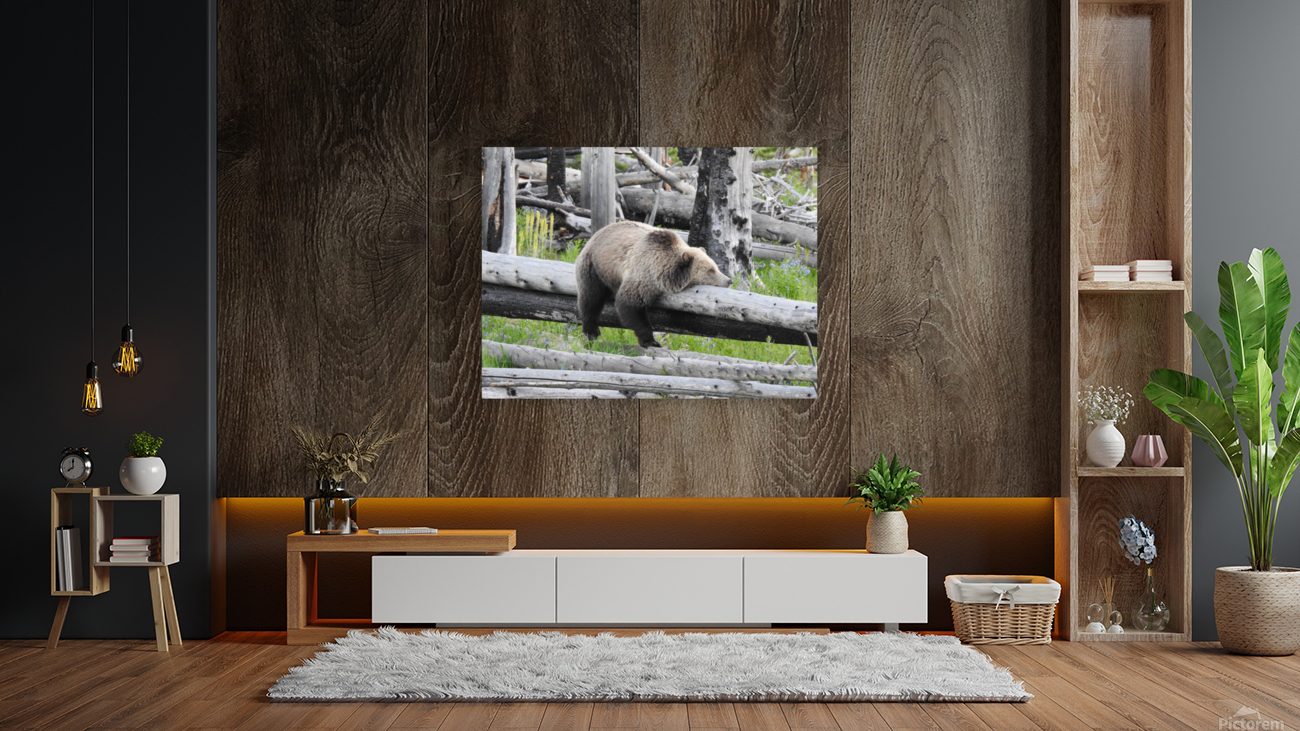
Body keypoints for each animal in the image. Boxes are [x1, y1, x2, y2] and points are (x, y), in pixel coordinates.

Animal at [574, 220, 732, 349]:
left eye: (715, 266)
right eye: (710, 270)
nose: (729, 280)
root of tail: (596, 233)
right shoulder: (644, 274)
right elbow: (629, 305)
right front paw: (651, 341)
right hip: (594, 267)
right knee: (590, 299)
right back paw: (591, 331)